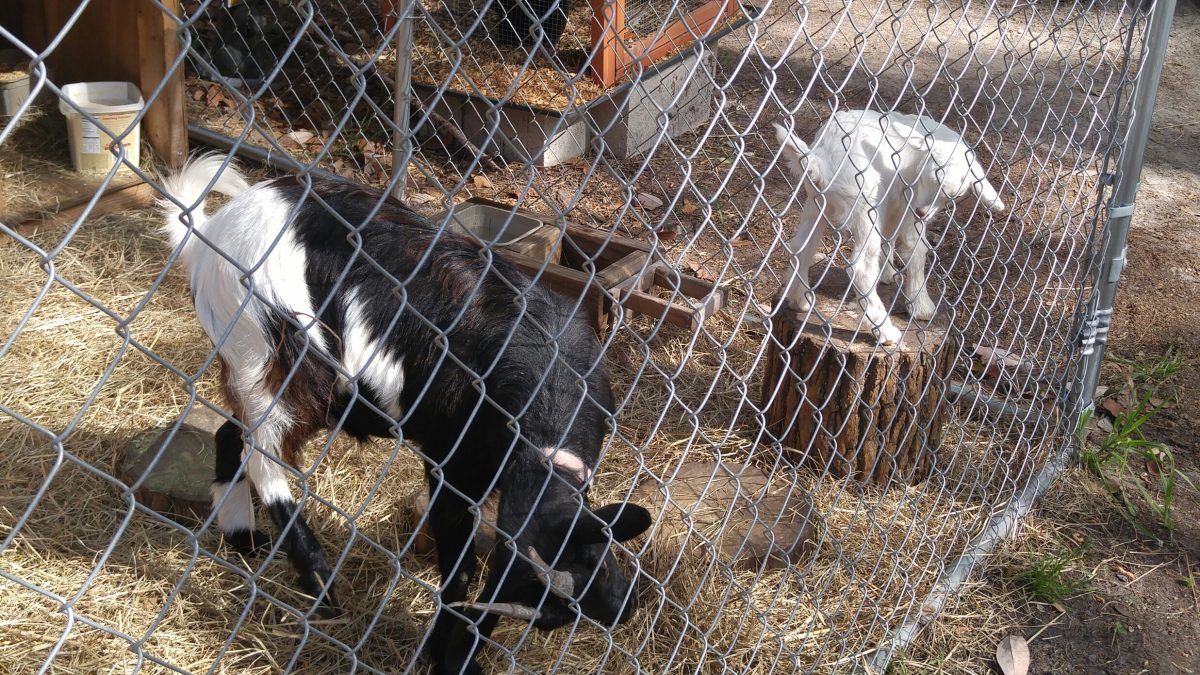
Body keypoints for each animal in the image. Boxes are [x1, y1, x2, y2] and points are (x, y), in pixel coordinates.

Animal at [159, 154, 652, 667]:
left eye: (596, 559)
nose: (626, 607)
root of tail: (208, 235)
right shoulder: (449, 462)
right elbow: (458, 565)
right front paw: (448, 655)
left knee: (231, 435)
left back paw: (243, 539)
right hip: (271, 353)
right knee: (264, 454)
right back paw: (320, 583)